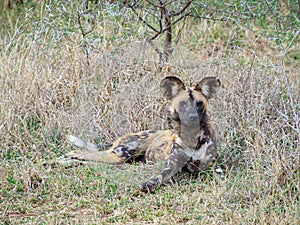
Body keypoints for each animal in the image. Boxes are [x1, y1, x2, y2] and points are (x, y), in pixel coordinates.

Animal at [63, 76, 220, 192]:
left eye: (199, 103)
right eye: (182, 104)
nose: (192, 117)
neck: (193, 139)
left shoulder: (213, 168)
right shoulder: (171, 166)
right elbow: (158, 178)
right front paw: (148, 185)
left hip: (125, 161)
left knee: (97, 163)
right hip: (120, 155)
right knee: (87, 154)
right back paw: (68, 158)